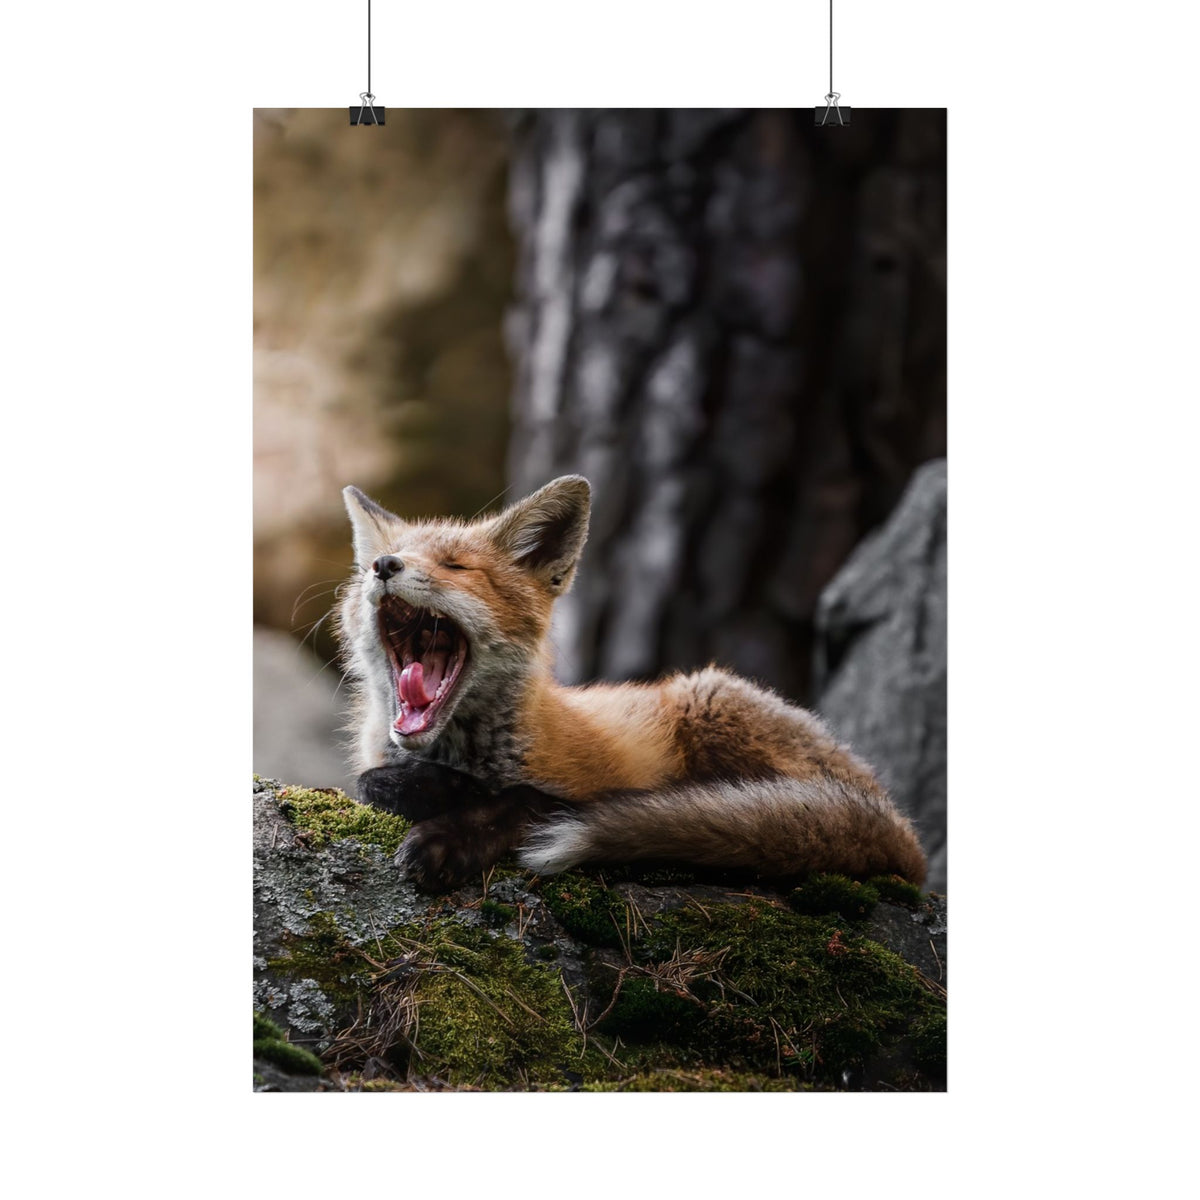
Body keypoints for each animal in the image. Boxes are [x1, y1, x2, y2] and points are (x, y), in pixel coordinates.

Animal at [336, 475, 927, 893]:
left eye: (455, 567)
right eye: (368, 569)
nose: (384, 565)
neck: (460, 755)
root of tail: (901, 826)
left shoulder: (589, 784)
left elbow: (527, 800)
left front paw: (449, 834)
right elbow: (370, 782)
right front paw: (427, 792)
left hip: (709, 700)